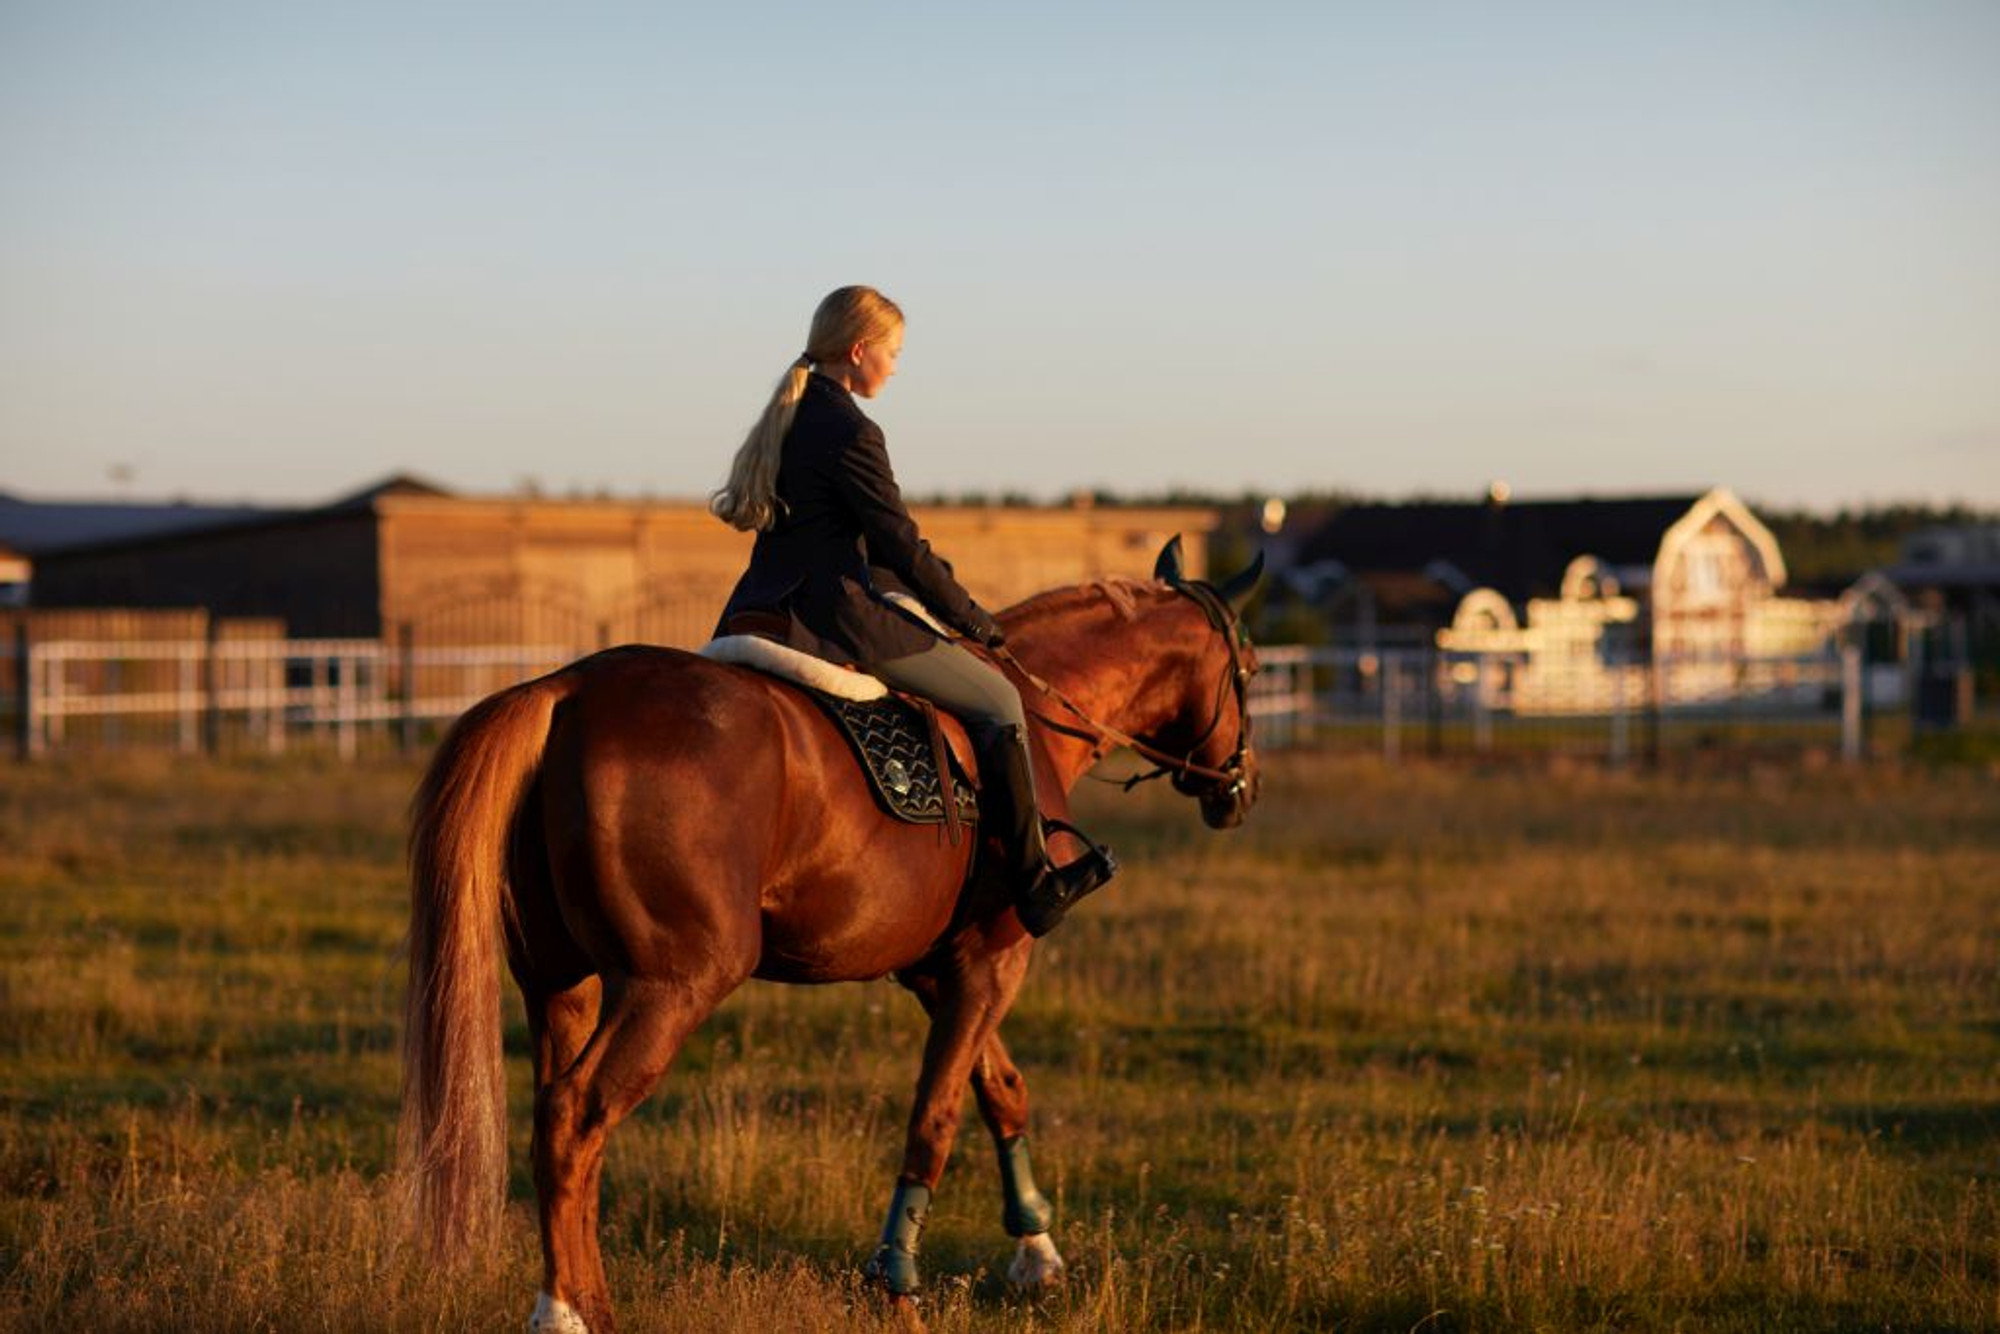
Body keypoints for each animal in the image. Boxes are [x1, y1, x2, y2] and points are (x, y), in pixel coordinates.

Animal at [398, 536, 1256, 1328]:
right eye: (1246, 665)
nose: (1238, 792)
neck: (1033, 718)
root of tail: (568, 689)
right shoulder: (994, 962)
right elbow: (934, 1119)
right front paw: (898, 1281)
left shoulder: (940, 971)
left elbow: (1000, 1091)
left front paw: (1036, 1254)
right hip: (671, 986)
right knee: (576, 1117)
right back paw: (574, 1315)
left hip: (559, 983)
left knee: (558, 1120)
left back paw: (573, 1299)